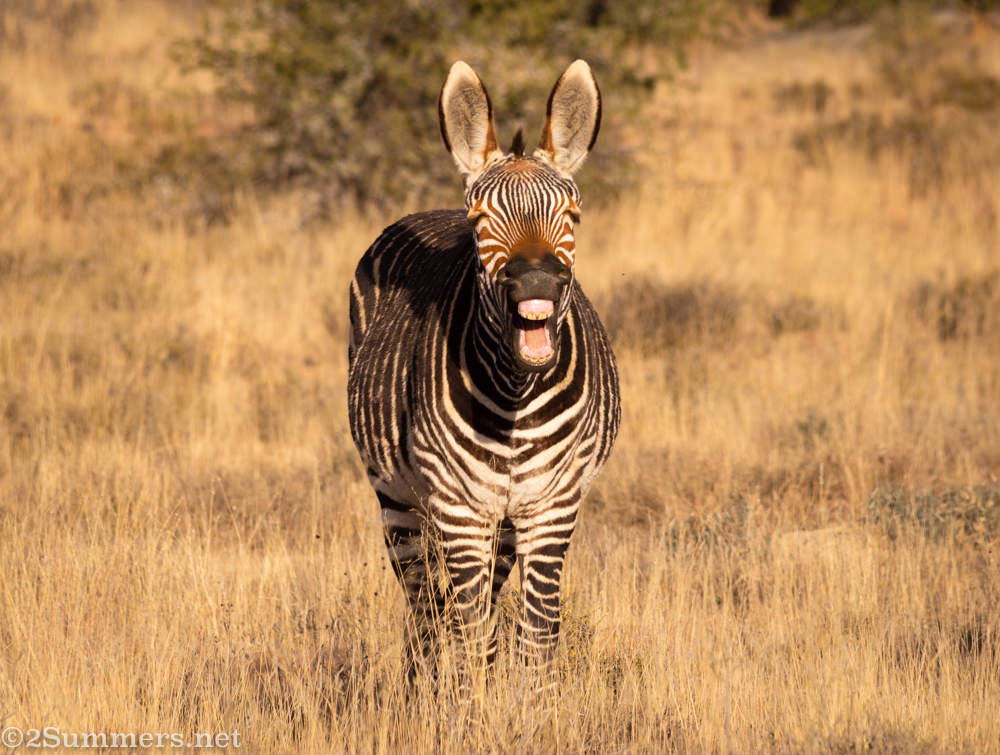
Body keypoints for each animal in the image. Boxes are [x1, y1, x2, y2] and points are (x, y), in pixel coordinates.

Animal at [348, 60, 620, 682]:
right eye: (481, 222)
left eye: (572, 215)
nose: (538, 282)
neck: (517, 390)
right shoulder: (458, 510)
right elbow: (472, 638)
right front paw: (473, 705)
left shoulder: (552, 507)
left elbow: (535, 637)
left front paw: (527, 705)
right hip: (398, 499)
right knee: (425, 608)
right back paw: (419, 690)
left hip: (505, 522)